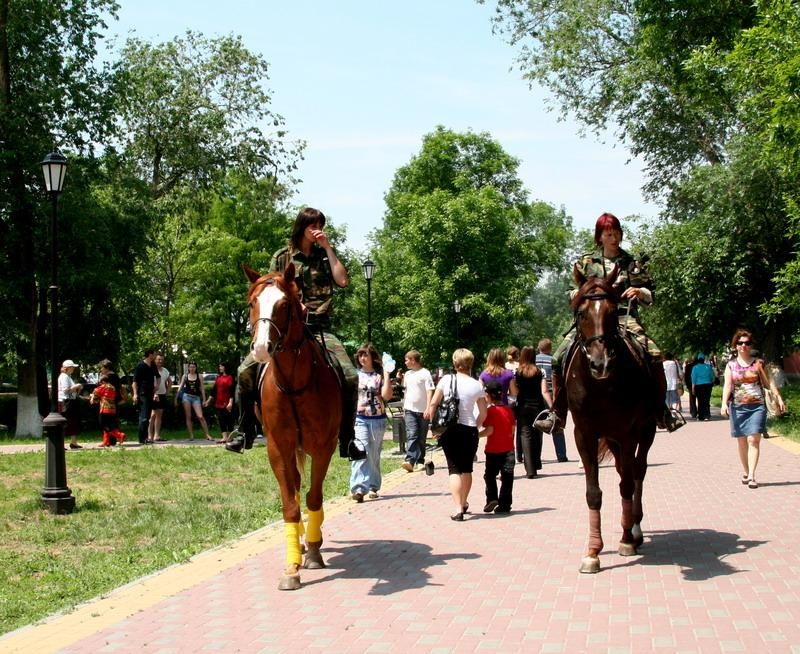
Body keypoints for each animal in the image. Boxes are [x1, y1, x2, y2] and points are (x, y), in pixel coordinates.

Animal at [242, 264, 340, 592]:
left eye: (284, 304)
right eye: (252, 303)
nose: (261, 347)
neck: (294, 381)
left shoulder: (324, 446)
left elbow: (313, 498)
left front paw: (313, 553)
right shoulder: (278, 448)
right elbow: (290, 504)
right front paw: (292, 566)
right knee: (295, 486)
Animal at [564, 266, 656, 576]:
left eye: (614, 311)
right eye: (581, 313)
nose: (600, 363)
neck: (602, 386)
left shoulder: (628, 433)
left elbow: (627, 484)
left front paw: (627, 540)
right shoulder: (584, 435)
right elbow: (594, 493)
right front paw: (593, 552)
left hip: (646, 431)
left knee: (637, 471)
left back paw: (635, 529)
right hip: (612, 440)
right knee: (621, 470)